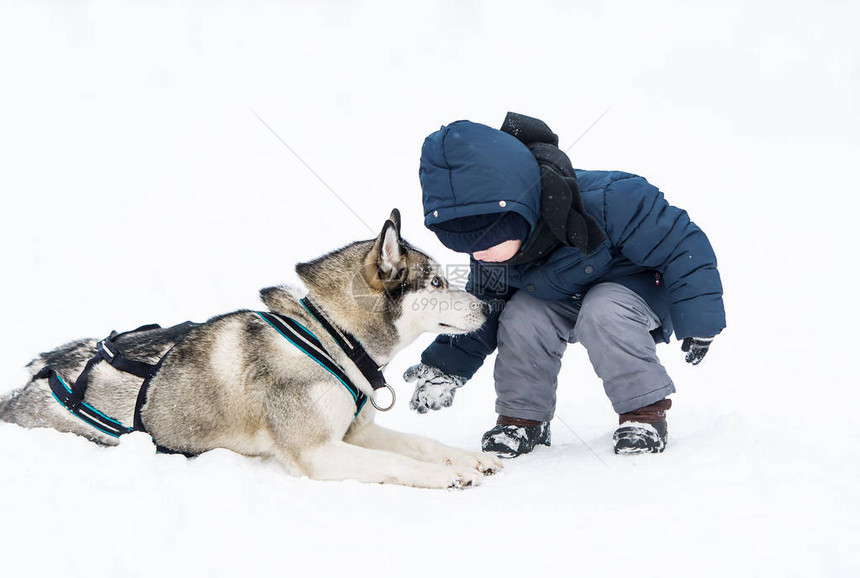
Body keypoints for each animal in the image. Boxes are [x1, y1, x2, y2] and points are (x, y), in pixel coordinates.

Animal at [0, 209, 500, 484]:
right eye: (436, 282)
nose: (489, 306)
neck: (333, 336)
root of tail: (32, 378)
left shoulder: (356, 433)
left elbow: (422, 443)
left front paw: (470, 459)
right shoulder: (318, 451)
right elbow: (398, 463)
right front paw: (449, 474)